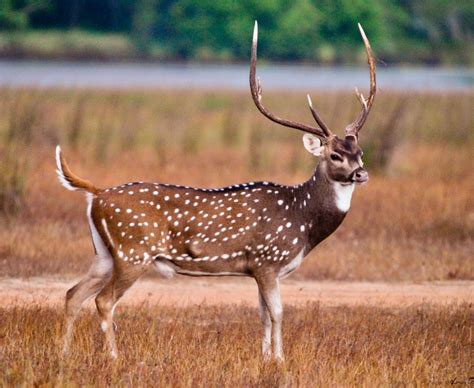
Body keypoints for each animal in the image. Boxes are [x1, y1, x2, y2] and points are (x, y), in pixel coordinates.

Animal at [57, 21, 376, 360]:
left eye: (360, 152)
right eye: (335, 155)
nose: (361, 173)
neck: (303, 222)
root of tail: (96, 194)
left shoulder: (257, 268)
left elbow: (263, 314)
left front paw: (265, 358)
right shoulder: (267, 260)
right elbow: (278, 312)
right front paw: (280, 360)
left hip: (105, 253)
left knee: (73, 293)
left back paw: (64, 353)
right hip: (133, 252)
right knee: (103, 301)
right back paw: (114, 357)